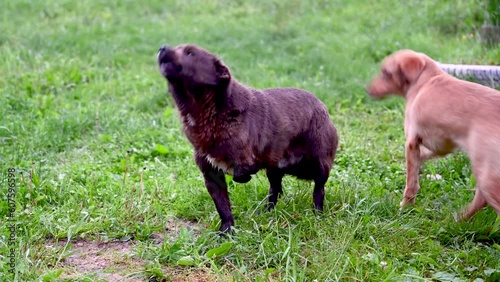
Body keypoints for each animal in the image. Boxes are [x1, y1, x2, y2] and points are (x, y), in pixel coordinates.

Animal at [158, 44, 338, 232]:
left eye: (190, 52)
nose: (162, 47)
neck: (210, 113)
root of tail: (322, 106)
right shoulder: (211, 175)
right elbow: (223, 207)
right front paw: (226, 231)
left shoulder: (246, 158)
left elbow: (242, 172)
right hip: (274, 170)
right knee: (275, 190)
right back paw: (266, 211)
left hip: (319, 164)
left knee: (318, 190)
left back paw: (317, 214)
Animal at [366, 49, 500, 221]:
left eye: (386, 73)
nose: (367, 89)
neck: (424, 80)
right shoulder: (443, 145)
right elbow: (421, 159)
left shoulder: (411, 142)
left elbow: (410, 181)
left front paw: (406, 206)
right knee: (480, 199)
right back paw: (459, 219)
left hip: (486, 174)